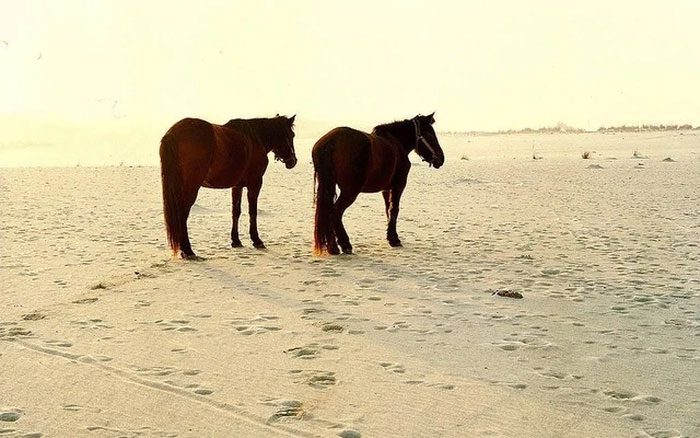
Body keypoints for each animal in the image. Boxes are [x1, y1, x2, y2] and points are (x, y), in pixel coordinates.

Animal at [159, 115, 296, 260]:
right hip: (191, 187)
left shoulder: (237, 186)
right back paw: (188, 250)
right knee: (183, 213)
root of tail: (173, 133)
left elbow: (236, 211)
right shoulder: (255, 183)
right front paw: (257, 240)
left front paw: (236, 241)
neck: (255, 138)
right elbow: (253, 212)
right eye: (291, 135)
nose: (293, 161)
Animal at [314, 114, 446, 256]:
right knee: (335, 212)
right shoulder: (399, 185)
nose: (441, 158)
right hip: (350, 191)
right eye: (430, 135)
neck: (395, 143)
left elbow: (388, 209)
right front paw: (394, 239)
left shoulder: (386, 189)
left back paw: (332, 247)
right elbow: (394, 209)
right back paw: (344, 245)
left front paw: (390, 236)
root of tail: (330, 142)